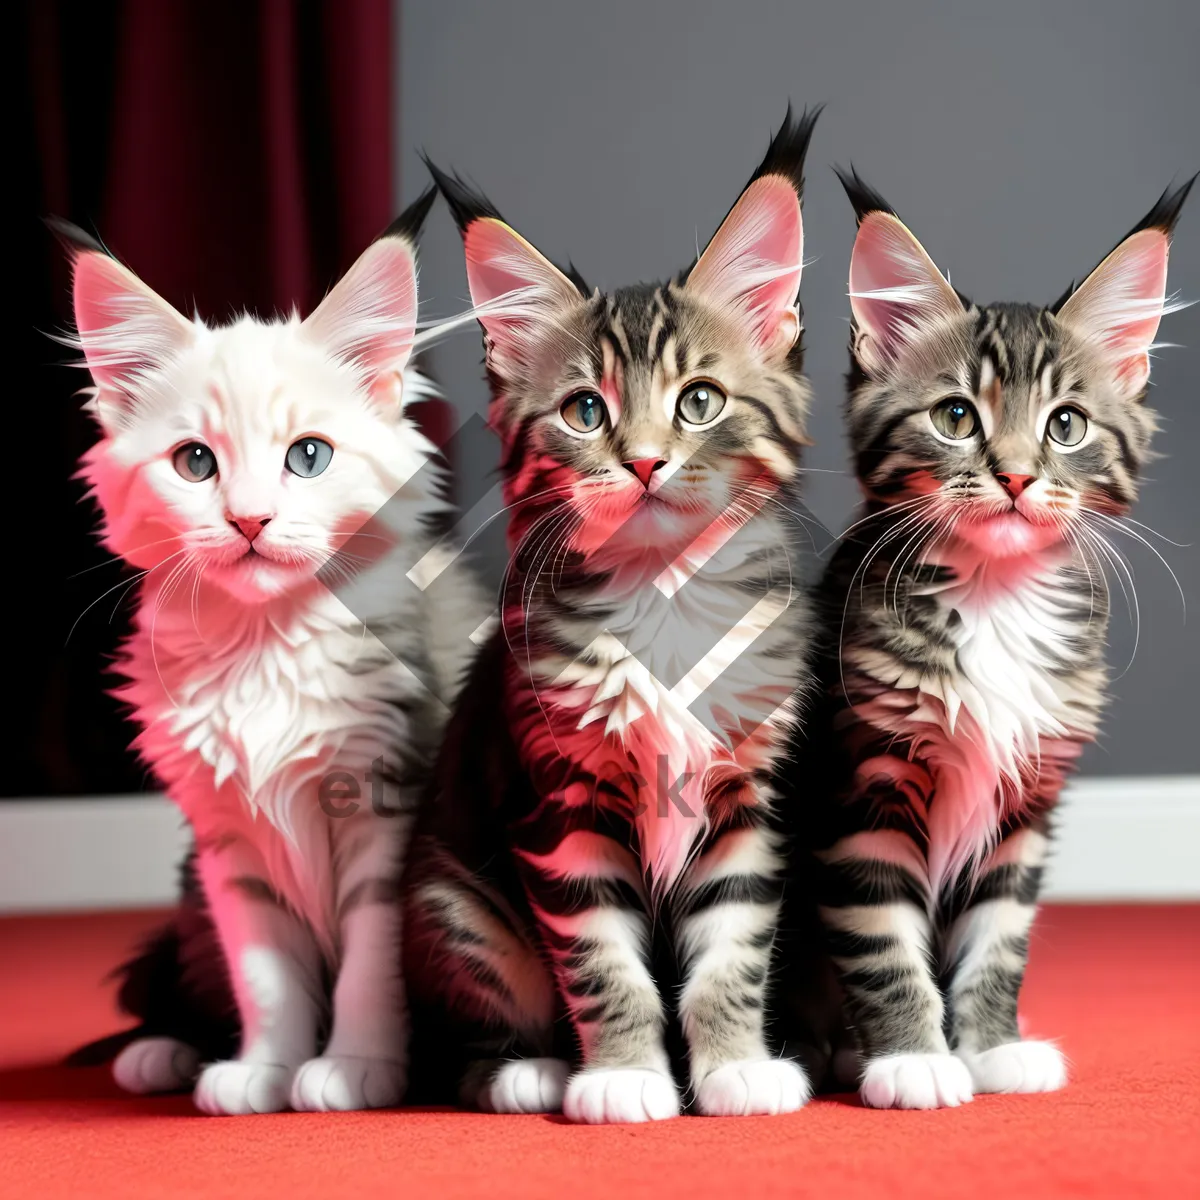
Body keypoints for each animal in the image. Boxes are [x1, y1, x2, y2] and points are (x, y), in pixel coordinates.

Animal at [64, 189, 482, 1113]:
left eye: (309, 457)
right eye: (194, 463)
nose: (249, 519)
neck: (266, 652)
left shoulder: (384, 809)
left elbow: (368, 963)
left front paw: (356, 1067)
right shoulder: (230, 849)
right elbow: (265, 977)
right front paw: (264, 1066)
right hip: (191, 888)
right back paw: (163, 1050)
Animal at [408, 110, 820, 1123]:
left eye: (699, 402)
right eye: (585, 411)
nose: (641, 461)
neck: (662, 594)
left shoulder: (742, 804)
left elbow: (730, 960)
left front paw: (735, 1067)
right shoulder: (561, 808)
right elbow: (602, 966)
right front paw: (627, 1077)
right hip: (454, 903)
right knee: (462, 1044)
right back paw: (530, 1070)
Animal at [777, 166, 1190, 1104]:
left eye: (1066, 425)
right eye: (957, 417)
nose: (1016, 476)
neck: (995, 597)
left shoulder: (1025, 805)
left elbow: (1000, 941)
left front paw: (994, 1045)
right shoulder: (864, 791)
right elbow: (882, 941)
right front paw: (913, 1059)